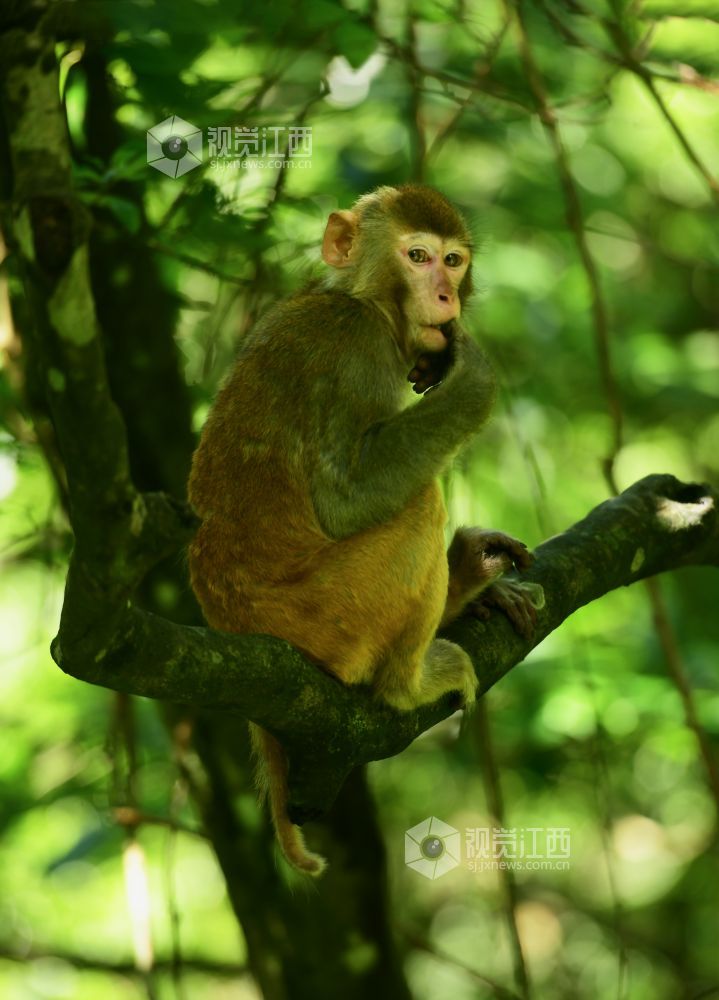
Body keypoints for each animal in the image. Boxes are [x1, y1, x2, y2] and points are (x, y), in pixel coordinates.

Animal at [188, 182, 536, 876]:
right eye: (418, 256)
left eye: (454, 260)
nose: (446, 296)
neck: (359, 298)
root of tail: (235, 627)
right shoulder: (357, 349)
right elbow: (342, 496)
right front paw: (472, 376)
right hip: (333, 616)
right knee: (421, 501)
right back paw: (408, 685)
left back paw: (467, 578)